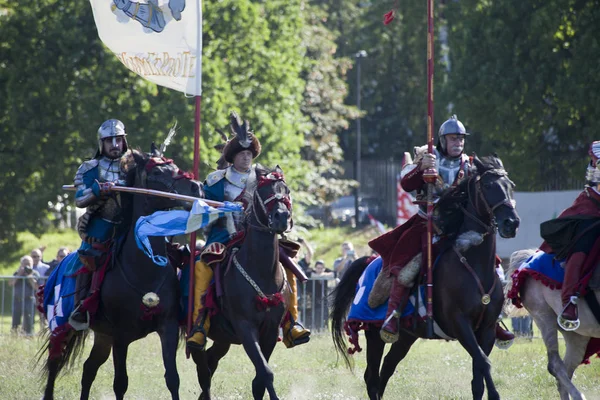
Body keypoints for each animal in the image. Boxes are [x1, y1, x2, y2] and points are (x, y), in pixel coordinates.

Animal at [191, 164, 294, 398]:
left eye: (286, 190)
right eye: (262, 192)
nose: (281, 217)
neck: (261, 272)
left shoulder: (270, 330)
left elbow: (259, 379)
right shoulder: (246, 328)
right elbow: (265, 372)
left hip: (222, 338)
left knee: (210, 362)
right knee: (202, 367)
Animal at [332, 156, 520, 400]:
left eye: (510, 186)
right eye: (488, 186)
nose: (511, 223)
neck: (472, 264)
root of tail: (369, 261)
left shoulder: (486, 330)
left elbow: (478, 376)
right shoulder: (461, 325)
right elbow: (484, 363)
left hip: (406, 336)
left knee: (386, 369)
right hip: (374, 333)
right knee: (372, 377)